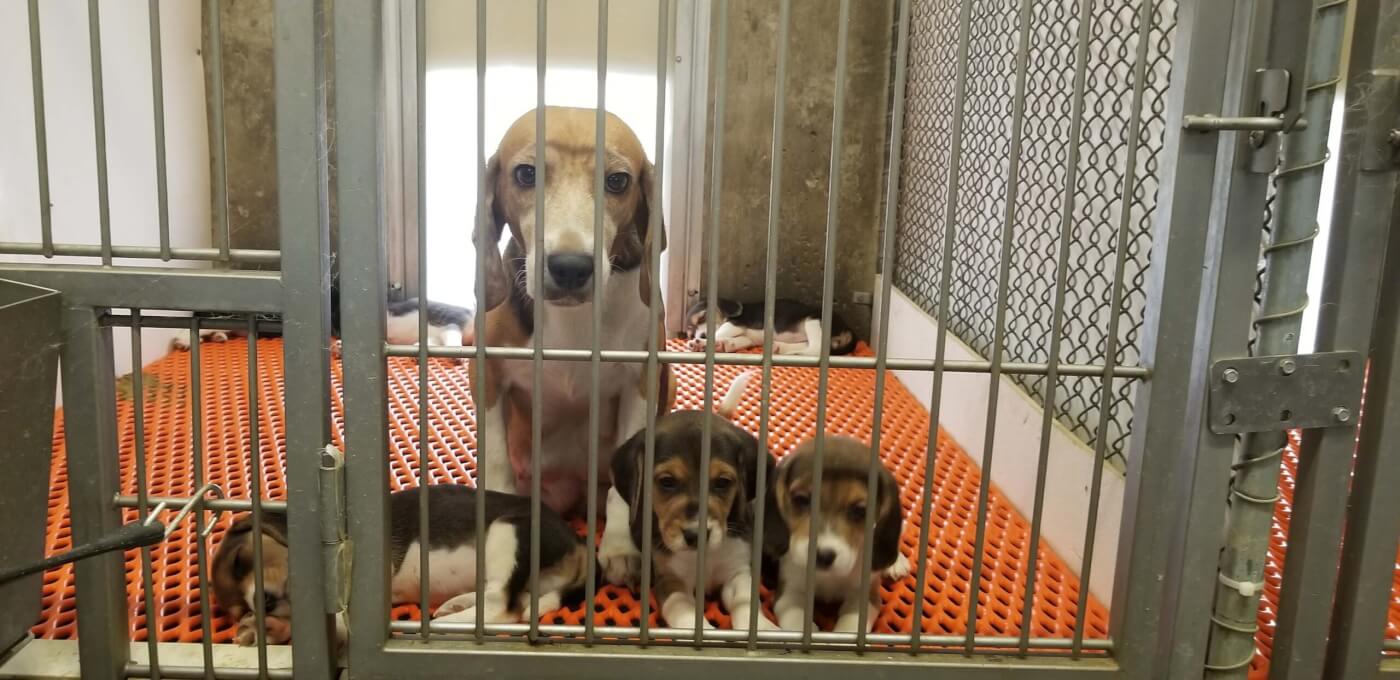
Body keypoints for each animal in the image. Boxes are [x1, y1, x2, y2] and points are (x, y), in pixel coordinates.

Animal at [211, 484, 590, 643]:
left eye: (240, 560)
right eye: (239, 609)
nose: (262, 602)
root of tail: (578, 546)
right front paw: (269, 629)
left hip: (506, 530)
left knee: (503, 606)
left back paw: (445, 623)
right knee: (516, 601)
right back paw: (456, 605)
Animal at [473, 107, 680, 548]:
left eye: (617, 181)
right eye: (526, 174)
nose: (570, 267)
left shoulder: (641, 381)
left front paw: (619, 545)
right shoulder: (487, 376)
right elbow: (496, 462)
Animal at [607, 408, 784, 632]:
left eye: (722, 482)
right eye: (667, 481)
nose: (695, 535)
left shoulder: (738, 571)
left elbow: (745, 602)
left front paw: (762, 628)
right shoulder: (671, 581)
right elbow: (684, 614)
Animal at [683, 300, 856, 358]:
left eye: (702, 317)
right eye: (690, 333)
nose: (701, 335)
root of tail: (849, 329)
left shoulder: (736, 323)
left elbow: (720, 332)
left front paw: (704, 343)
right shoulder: (747, 338)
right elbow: (737, 341)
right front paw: (722, 345)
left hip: (813, 320)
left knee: (816, 349)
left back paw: (793, 354)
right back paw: (780, 348)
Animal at [761, 436, 912, 632]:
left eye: (860, 511)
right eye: (801, 499)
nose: (823, 556)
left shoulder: (865, 597)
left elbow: (850, 627)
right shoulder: (789, 592)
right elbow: (796, 620)